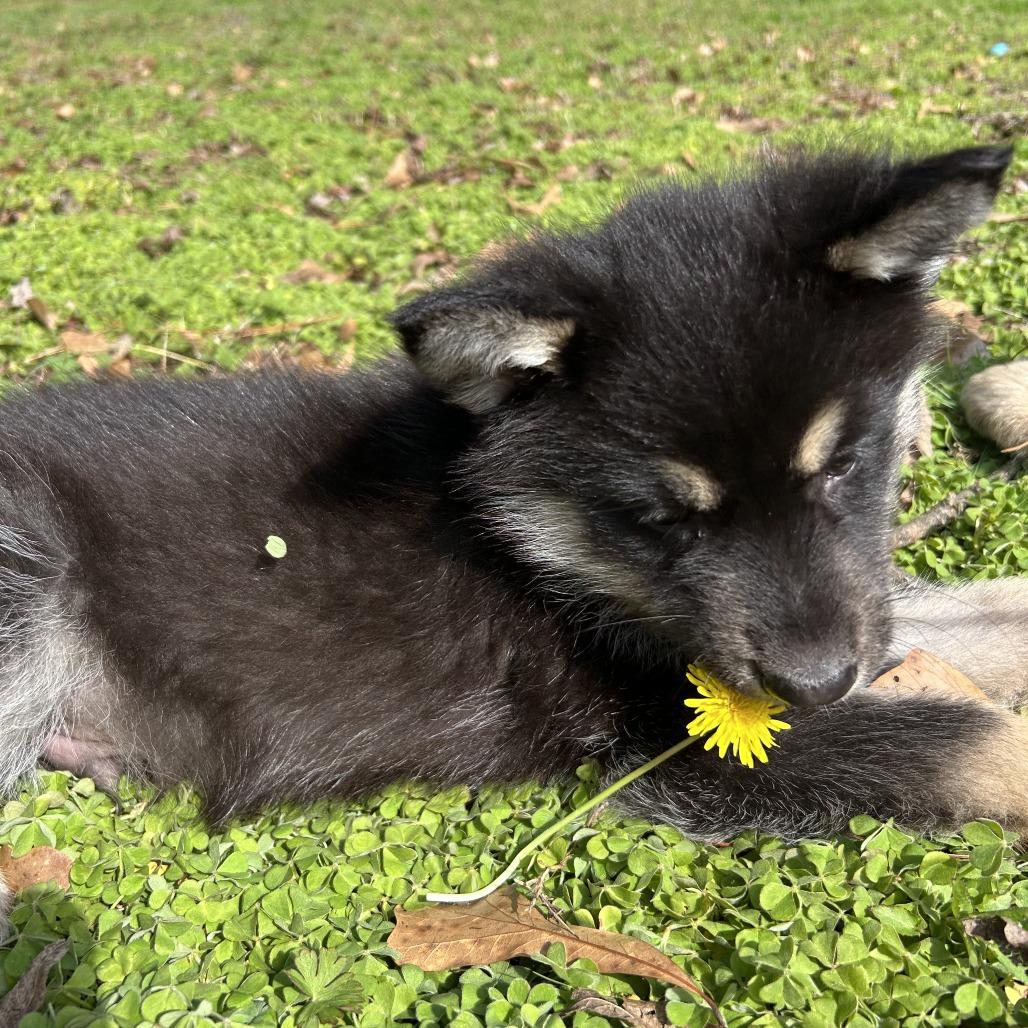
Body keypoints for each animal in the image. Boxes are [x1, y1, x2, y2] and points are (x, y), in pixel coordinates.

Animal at [0, 144, 1025, 842]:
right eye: (660, 518)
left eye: (845, 463)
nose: (816, 682)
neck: (523, 541)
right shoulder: (667, 738)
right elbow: (976, 744)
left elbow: (970, 617)